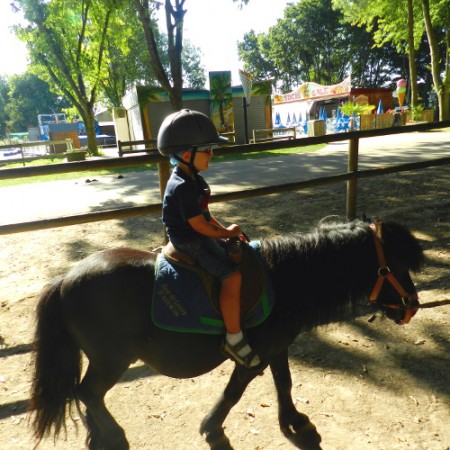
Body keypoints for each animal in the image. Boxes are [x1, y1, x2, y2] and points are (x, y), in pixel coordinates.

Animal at [29, 218, 424, 450]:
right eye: (394, 265)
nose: (412, 306)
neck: (284, 277)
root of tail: (64, 279)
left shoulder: (278, 347)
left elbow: (284, 383)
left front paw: (293, 420)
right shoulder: (255, 355)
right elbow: (233, 392)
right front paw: (211, 427)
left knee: (85, 394)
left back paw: (97, 435)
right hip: (112, 359)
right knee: (87, 392)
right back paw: (113, 435)